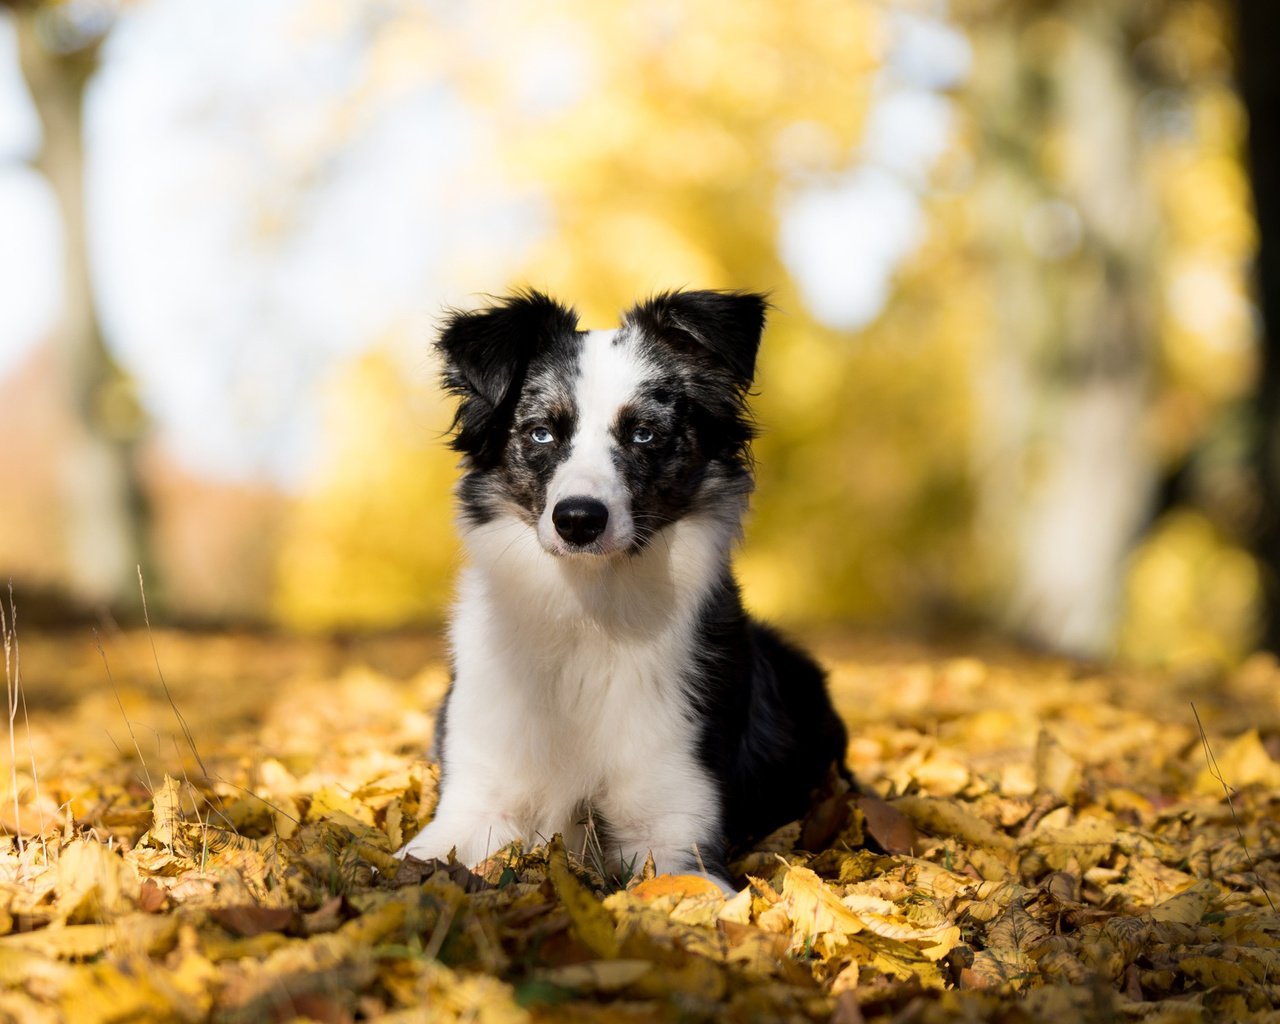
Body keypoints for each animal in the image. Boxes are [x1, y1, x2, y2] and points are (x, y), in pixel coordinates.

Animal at [399, 288, 849, 885]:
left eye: (644, 434)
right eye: (541, 432)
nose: (578, 520)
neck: (588, 611)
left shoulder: (674, 833)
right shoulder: (472, 807)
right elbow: (407, 867)